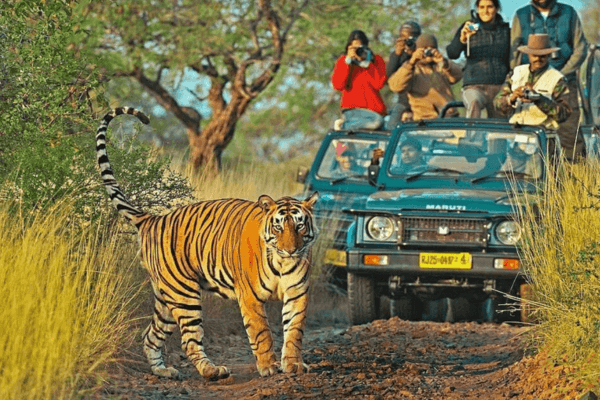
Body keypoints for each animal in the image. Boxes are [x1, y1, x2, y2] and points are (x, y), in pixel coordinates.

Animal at [95, 107, 318, 382]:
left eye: (299, 226)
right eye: (278, 227)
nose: (291, 250)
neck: (281, 261)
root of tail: (152, 219)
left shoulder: (297, 293)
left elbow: (294, 331)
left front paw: (294, 364)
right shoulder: (250, 298)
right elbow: (261, 333)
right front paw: (268, 366)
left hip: (165, 298)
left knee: (150, 336)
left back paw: (164, 371)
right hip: (184, 294)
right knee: (189, 340)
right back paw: (212, 371)